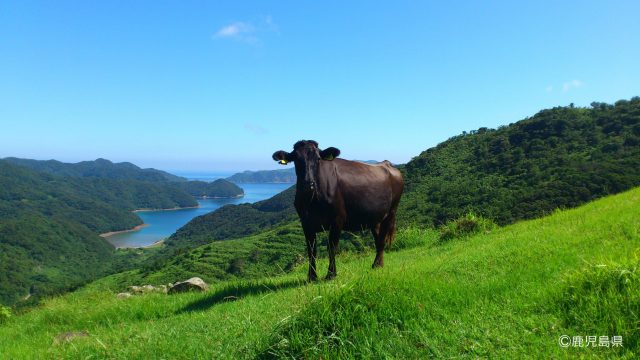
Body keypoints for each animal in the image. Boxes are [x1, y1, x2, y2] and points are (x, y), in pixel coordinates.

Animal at [272, 139, 402, 280]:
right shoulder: (305, 222)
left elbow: (332, 248)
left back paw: (377, 265)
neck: (313, 201)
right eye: (296, 158)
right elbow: (311, 250)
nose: (308, 184)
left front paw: (331, 274)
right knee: (378, 239)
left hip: (391, 212)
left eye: (318, 159)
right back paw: (378, 264)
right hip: (375, 217)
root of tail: (387, 164)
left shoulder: (337, 219)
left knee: (382, 239)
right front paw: (312, 277)